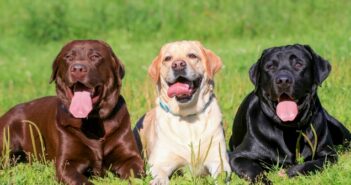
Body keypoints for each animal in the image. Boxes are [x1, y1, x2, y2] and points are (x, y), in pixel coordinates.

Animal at [230, 44, 350, 183]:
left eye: (298, 64)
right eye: (270, 66)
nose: (283, 80)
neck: (290, 129)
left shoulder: (328, 154)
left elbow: (312, 164)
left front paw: (290, 172)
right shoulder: (238, 156)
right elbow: (254, 171)